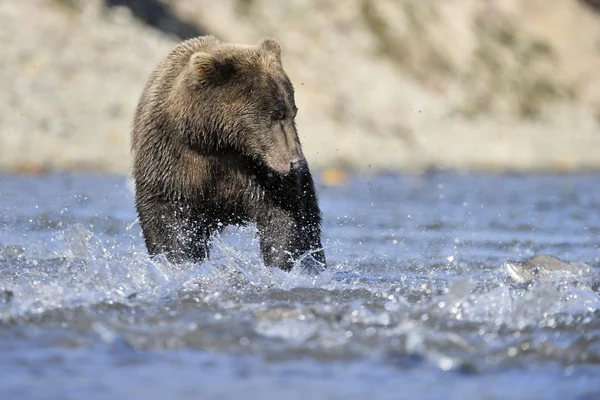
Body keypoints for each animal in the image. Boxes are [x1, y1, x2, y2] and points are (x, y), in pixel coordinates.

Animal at [131, 35, 326, 272]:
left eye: (292, 112)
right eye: (274, 115)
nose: (296, 163)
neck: (217, 141)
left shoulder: (262, 172)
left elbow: (284, 215)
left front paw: (281, 264)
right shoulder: (172, 157)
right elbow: (166, 217)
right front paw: (178, 261)